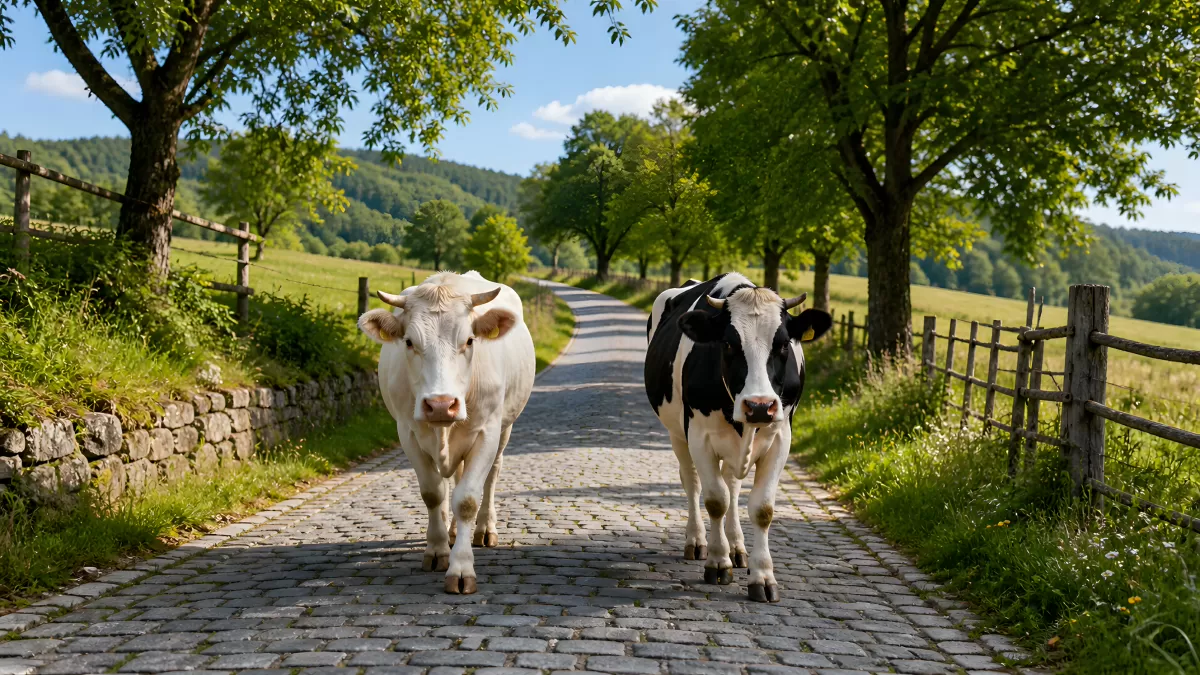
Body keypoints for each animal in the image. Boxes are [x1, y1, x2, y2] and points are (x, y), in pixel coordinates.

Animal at [358, 271, 536, 595]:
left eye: (469, 340)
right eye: (409, 342)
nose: (441, 404)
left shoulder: (487, 432)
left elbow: (467, 500)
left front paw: (461, 568)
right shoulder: (407, 432)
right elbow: (433, 493)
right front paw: (438, 550)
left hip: (505, 428)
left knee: (492, 475)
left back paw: (484, 529)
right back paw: (452, 533)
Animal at [644, 273, 832, 602]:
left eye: (783, 344)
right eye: (729, 344)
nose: (758, 406)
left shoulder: (781, 438)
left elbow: (762, 508)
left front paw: (762, 577)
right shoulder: (700, 436)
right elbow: (715, 500)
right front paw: (718, 563)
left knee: (732, 485)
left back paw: (737, 547)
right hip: (677, 434)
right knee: (692, 482)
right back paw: (697, 542)